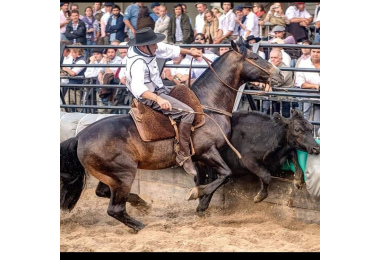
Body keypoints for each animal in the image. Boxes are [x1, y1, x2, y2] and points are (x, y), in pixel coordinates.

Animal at [60, 38, 282, 232]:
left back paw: (142, 204)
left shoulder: (199, 157)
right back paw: (141, 226)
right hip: (123, 175)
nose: (279, 74)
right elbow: (225, 175)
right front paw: (196, 195)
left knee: (103, 193)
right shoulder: (207, 151)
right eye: (255, 57)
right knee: (115, 208)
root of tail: (79, 137)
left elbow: (208, 179)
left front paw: (201, 207)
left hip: (111, 176)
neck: (207, 106)